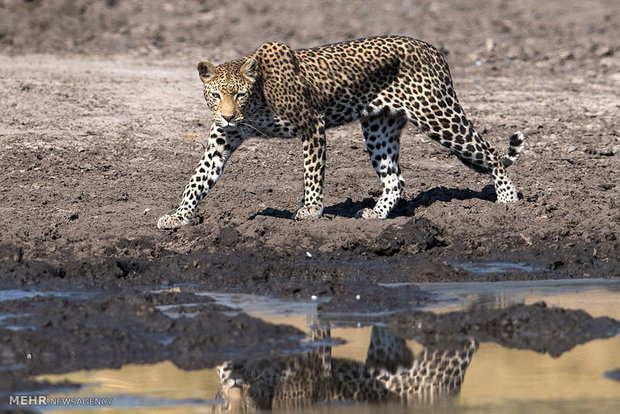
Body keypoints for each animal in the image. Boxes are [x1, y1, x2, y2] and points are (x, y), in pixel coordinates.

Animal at [157, 35, 524, 230]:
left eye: (240, 94)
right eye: (216, 94)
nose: (228, 115)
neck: (257, 102)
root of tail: (434, 50)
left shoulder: (312, 124)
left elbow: (312, 173)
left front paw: (310, 209)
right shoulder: (222, 140)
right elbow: (197, 179)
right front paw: (179, 216)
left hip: (437, 115)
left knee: (491, 152)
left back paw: (508, 200)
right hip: (378, 128)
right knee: (395, 179)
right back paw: (376, 213)